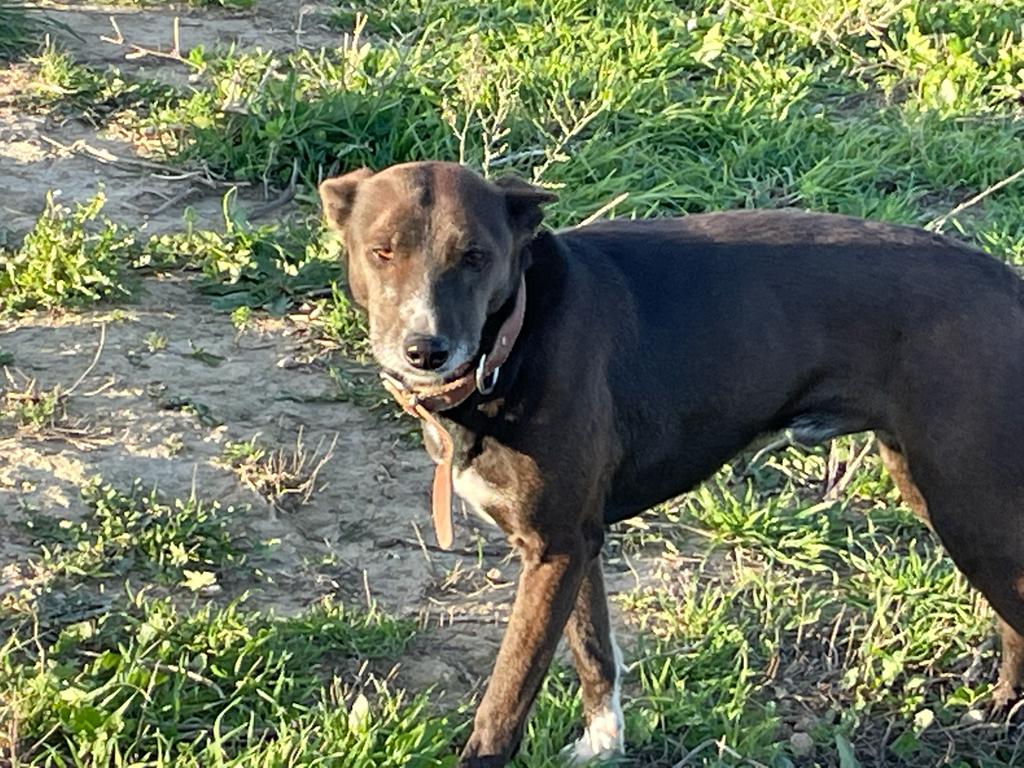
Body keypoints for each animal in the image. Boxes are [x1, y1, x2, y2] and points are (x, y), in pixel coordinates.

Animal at [319, 161, 1024, 766]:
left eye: (475, 256)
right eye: (382, 251)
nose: (425, 349)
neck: (515, 342)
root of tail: (1008, 282)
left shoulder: (555, 547)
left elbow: (506, 698)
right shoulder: (572, 545)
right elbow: (594, 652)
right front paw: (604, 746)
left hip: (968, 507)